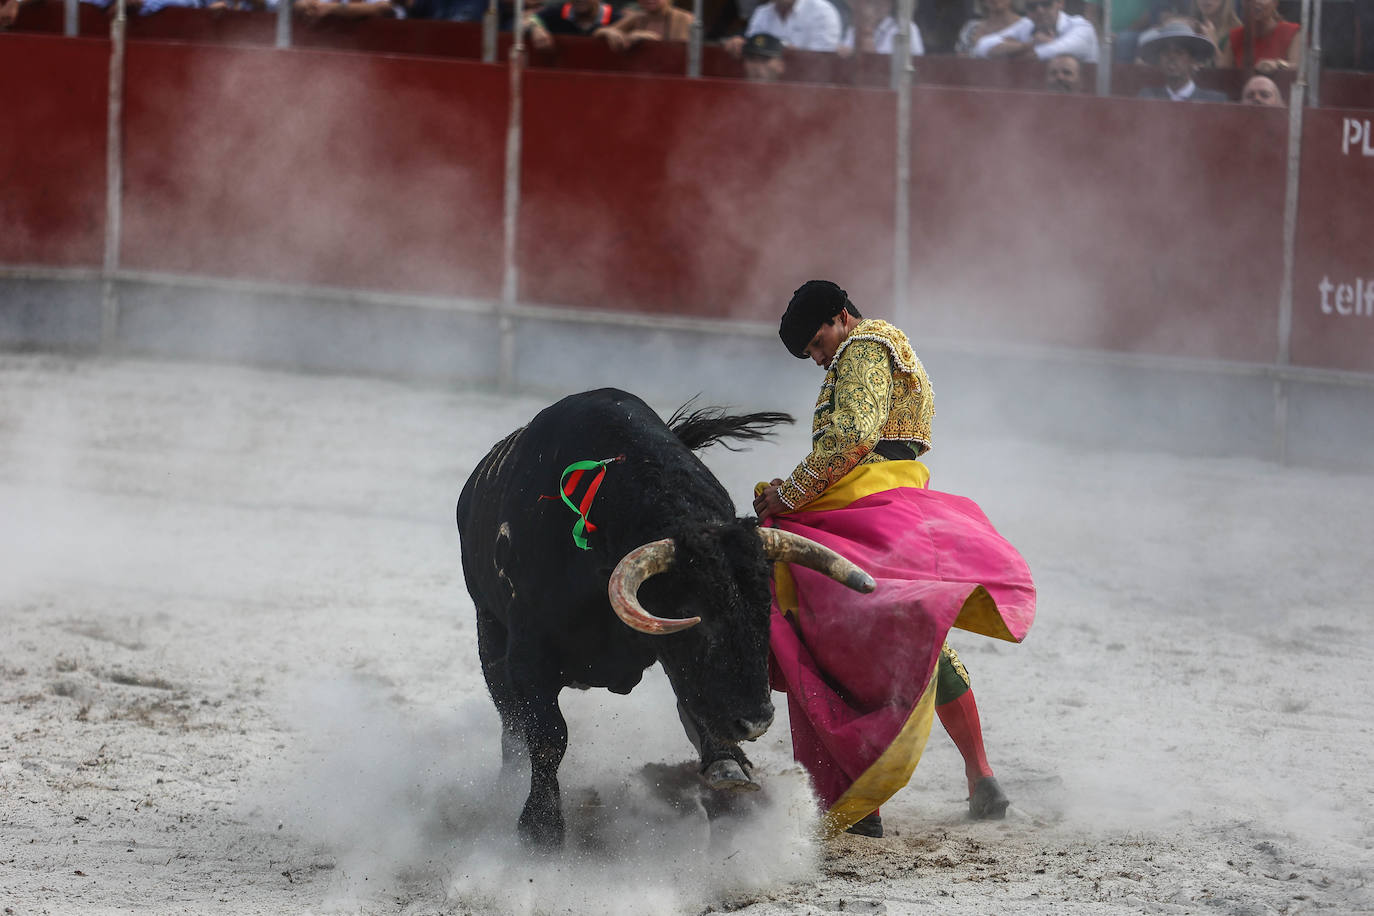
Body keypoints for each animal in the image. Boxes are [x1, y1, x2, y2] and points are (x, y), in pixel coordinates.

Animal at [456, 387, 873, 845]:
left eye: (766, 606)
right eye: (694, 614)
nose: (756, 721)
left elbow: (694, 699)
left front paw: (728, 764)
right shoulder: (529, 657)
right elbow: (547, 736)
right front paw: (540, 829)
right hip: (488, 629)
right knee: (510, 722)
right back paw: (506, 787)